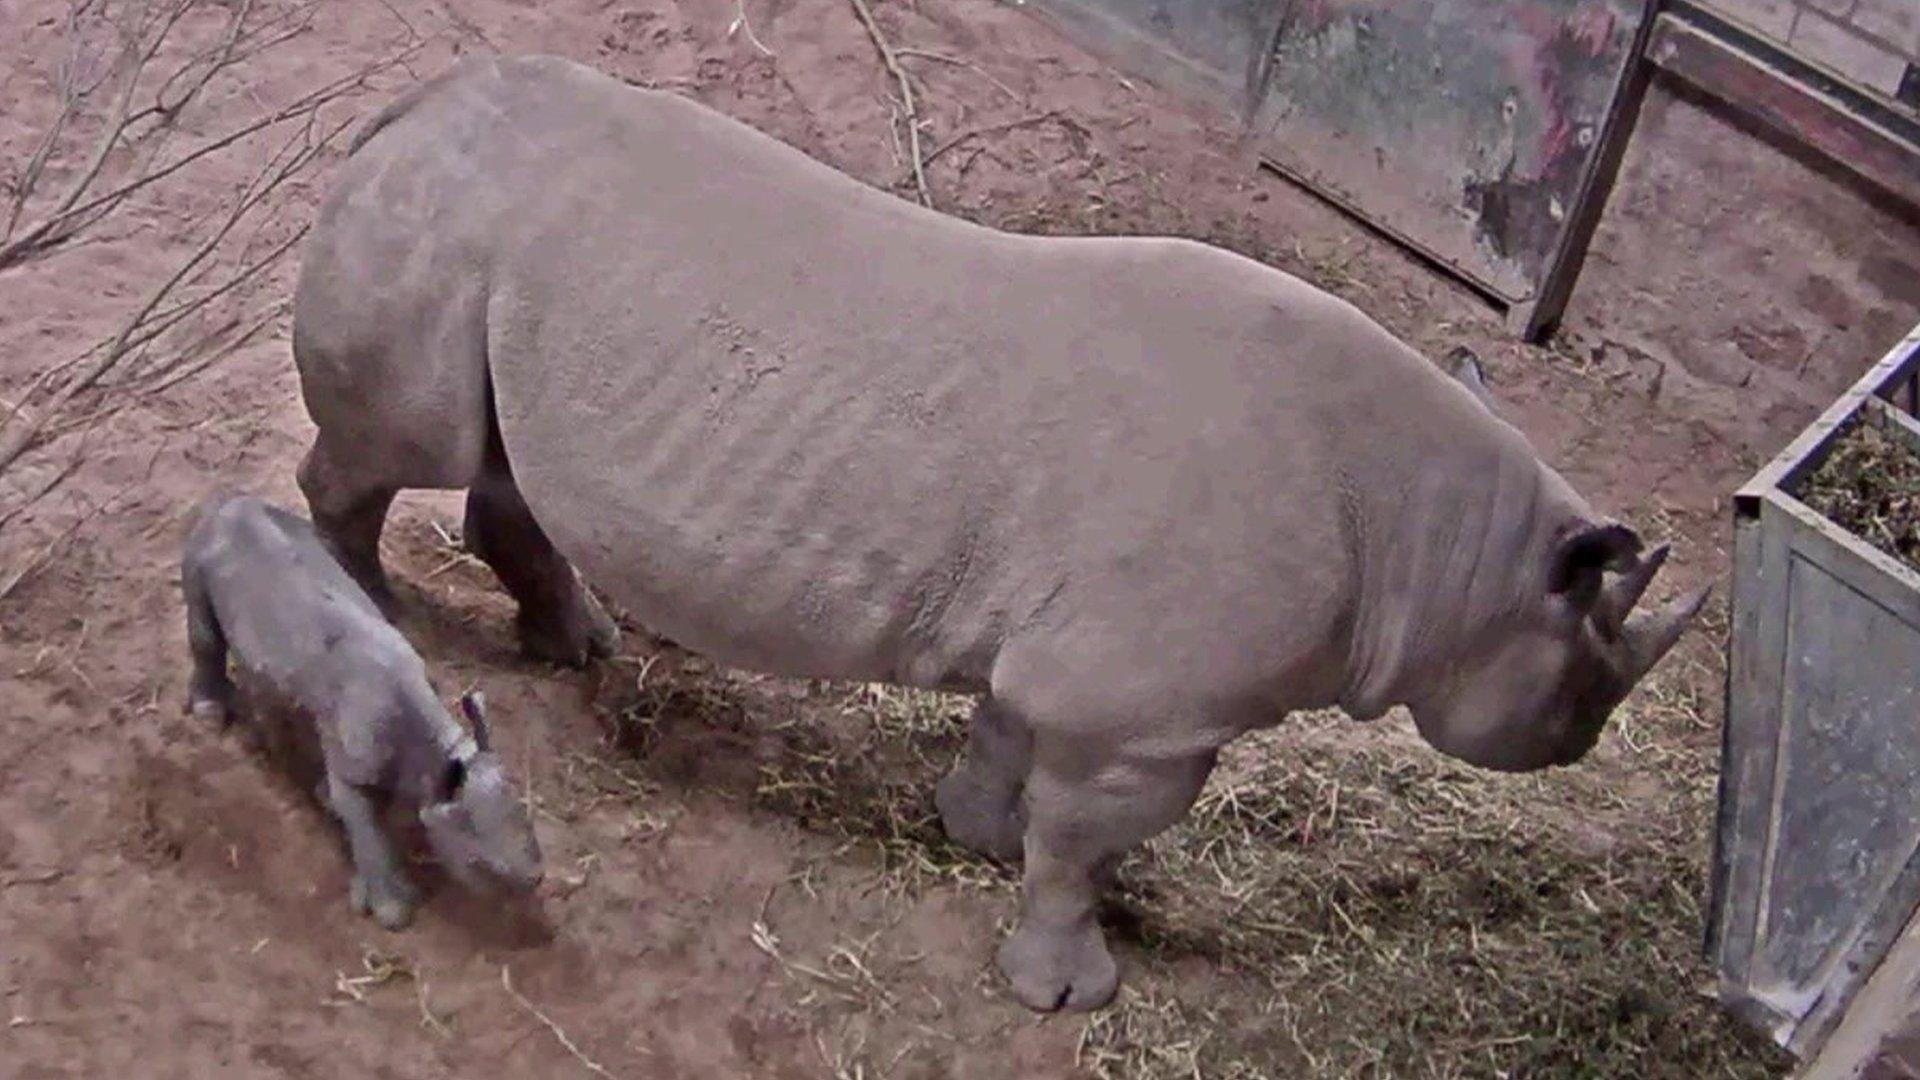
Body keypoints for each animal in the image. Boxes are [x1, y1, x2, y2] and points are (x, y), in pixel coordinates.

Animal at [180, 490, 545, 926]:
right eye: (488, 872)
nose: (536, 881)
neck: (434, 754)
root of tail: (226, 501)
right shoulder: (357, 765)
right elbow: (368, 828)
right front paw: (393, 911)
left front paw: (325, 799)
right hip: (202, 547)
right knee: (203, 628)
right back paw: (210, 714)